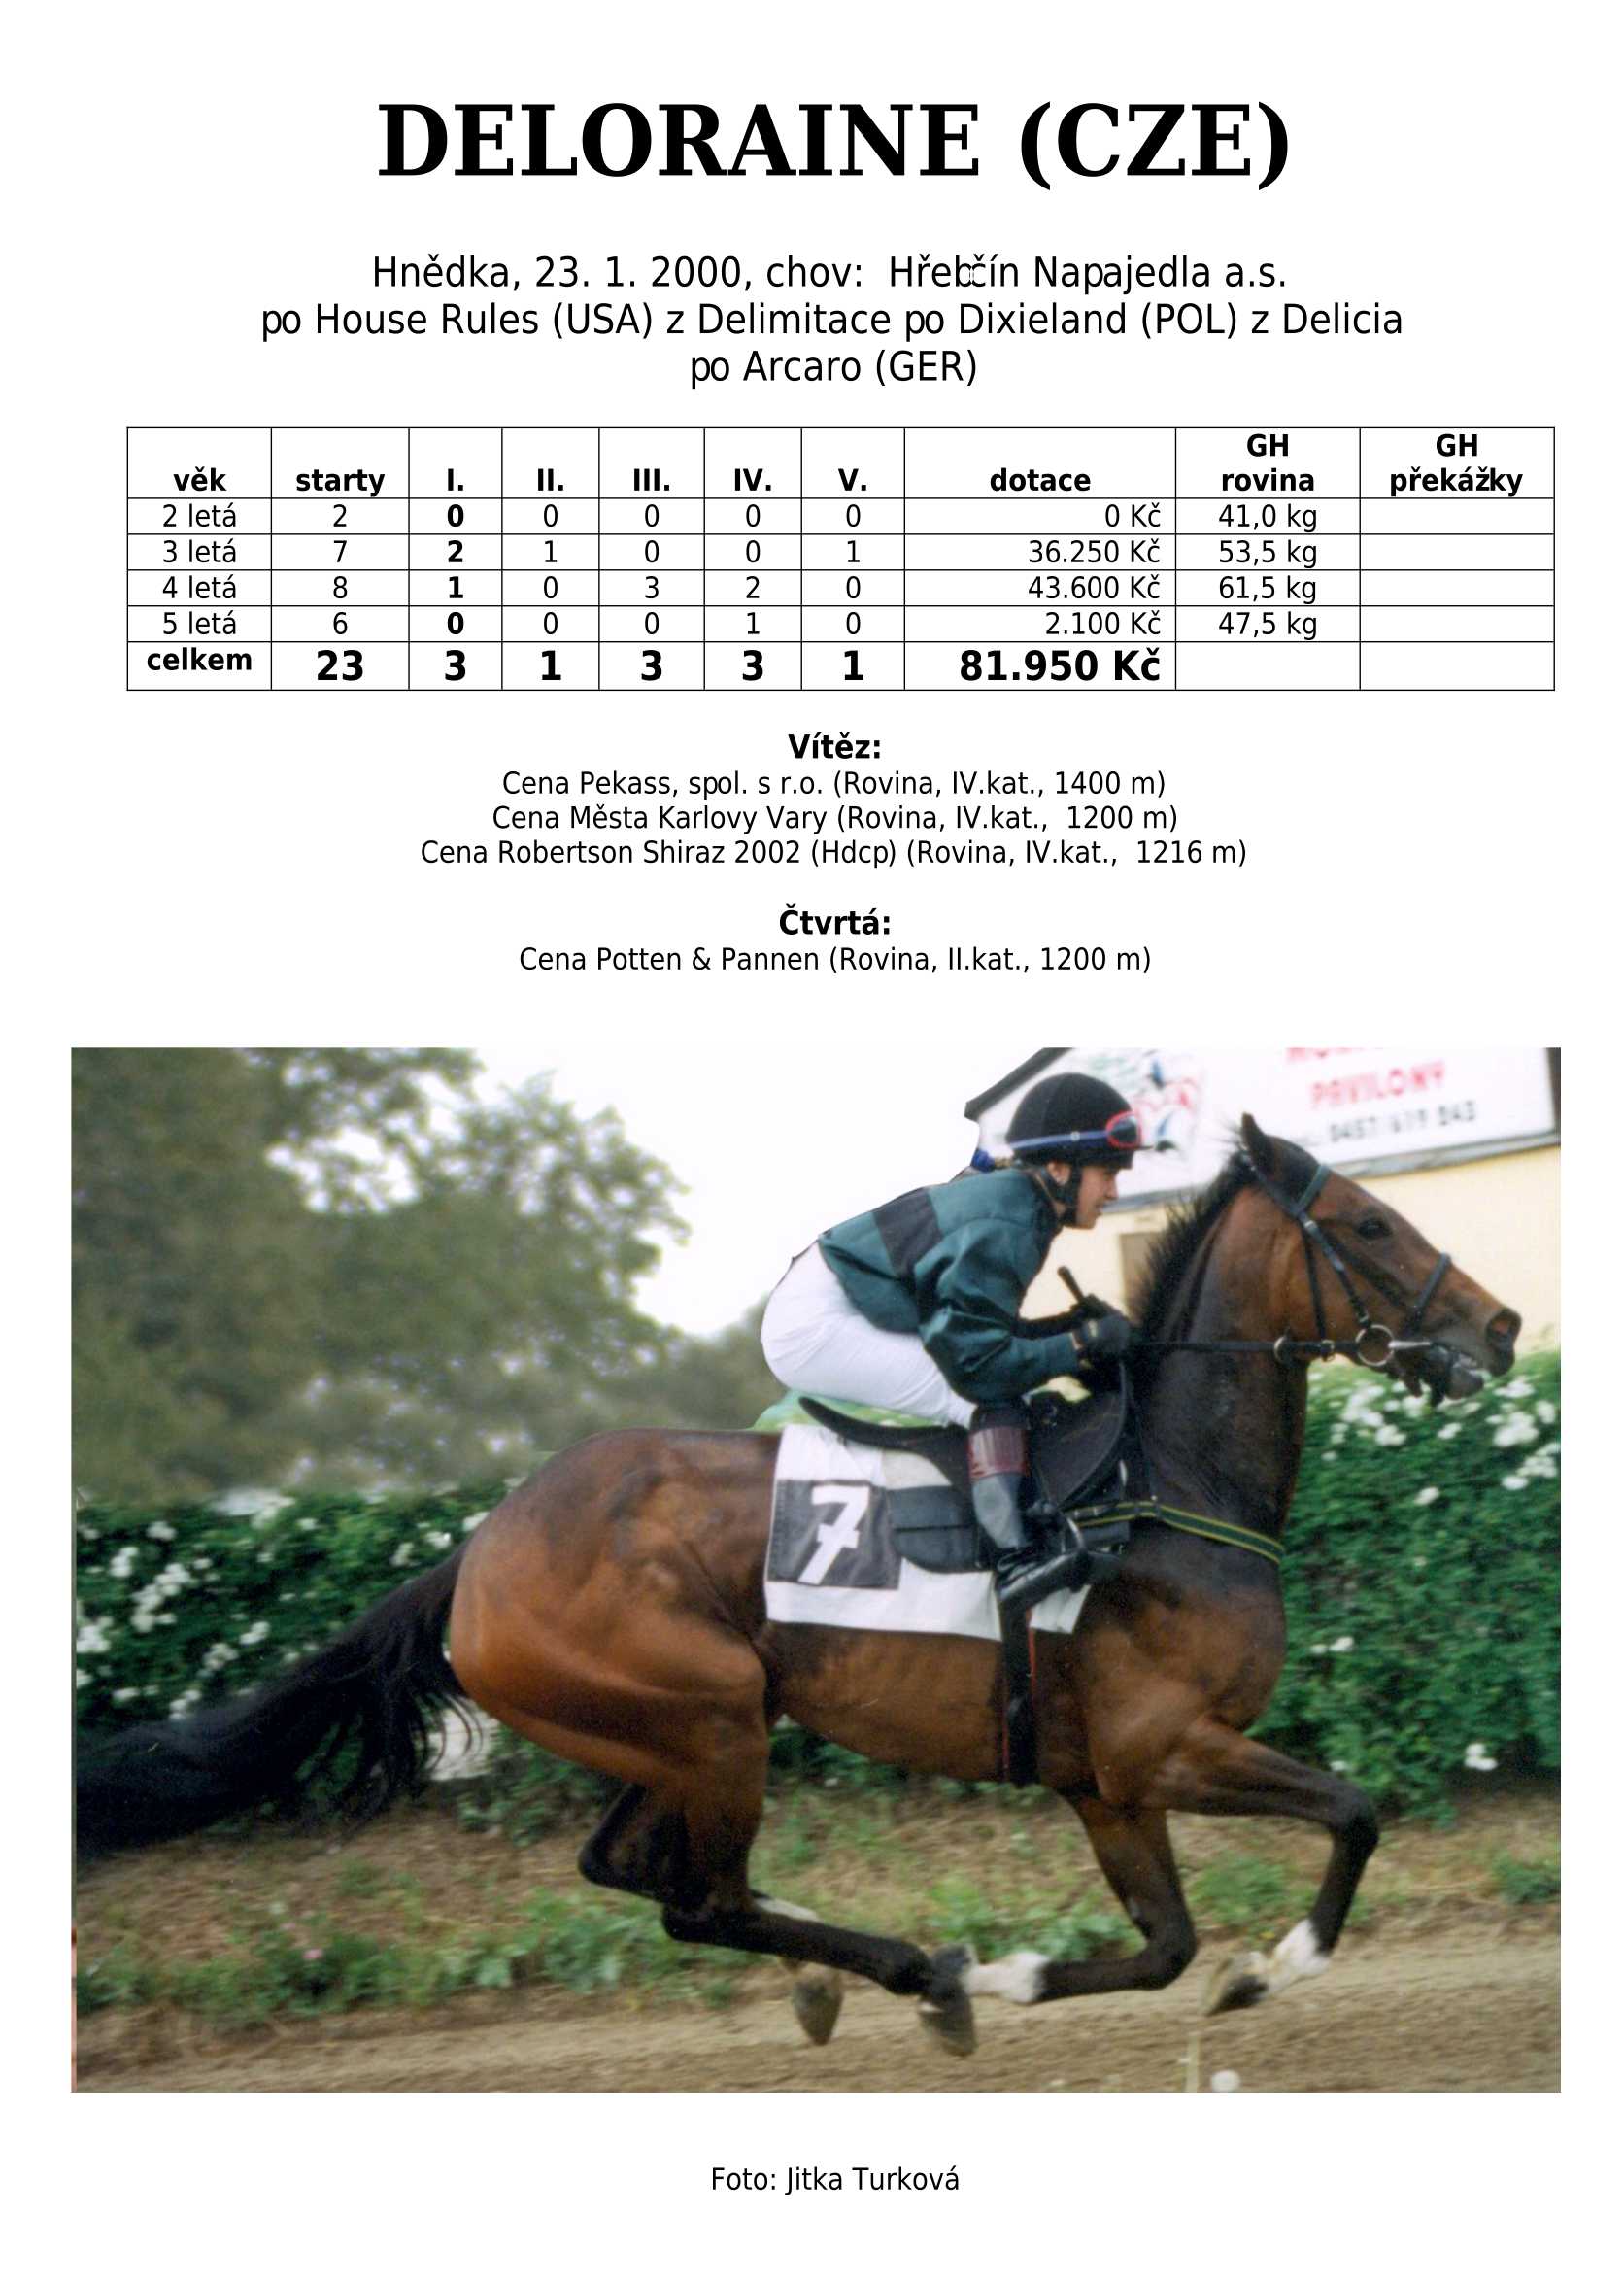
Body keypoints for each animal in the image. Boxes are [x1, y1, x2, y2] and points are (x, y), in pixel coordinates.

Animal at [76, 1116, 1521, 2054]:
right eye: (1369, 1222)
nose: (1502, 1327)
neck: (1161, 1480)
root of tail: (475, 1550)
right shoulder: (1163, 1744)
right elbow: (1352, 1811)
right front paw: (1272, 1967)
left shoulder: (1104, 1777)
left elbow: (1167, 1940)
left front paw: (1035, 1970)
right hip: (709, 1711)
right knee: (696, 1895)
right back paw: (910, 1968)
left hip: (671, 1724)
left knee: (634, 1870)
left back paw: (889, 1971)